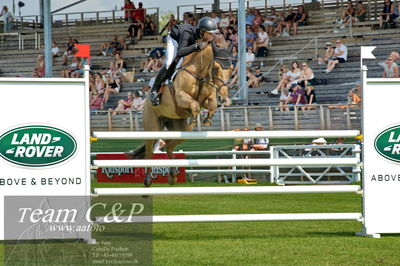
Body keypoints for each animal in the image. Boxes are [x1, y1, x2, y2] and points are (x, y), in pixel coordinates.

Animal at [128, 42, 234, 186]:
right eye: (216, 68)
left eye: (231, 69)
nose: (223, 98)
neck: (199, 73)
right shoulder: (180, 96)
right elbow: (194, 105)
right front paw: (195, 118)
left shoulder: (206, 99)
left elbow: (211, 104)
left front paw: (207, 119)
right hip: (152, 126)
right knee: (149, 151)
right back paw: (148, 180)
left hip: (181, 129)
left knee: (168, 144)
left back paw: (172, 176)